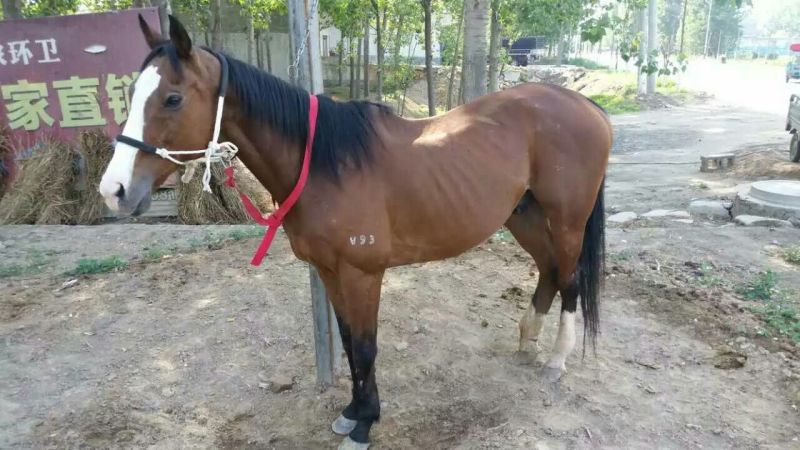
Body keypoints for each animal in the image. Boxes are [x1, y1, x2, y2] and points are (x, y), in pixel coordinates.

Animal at [98, 15, 612, 449]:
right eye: (133, 94)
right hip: (522, 214)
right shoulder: (329, 271)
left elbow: (365, 347)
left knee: (569, 278)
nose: (114, 190)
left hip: (567, 219)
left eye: (173, 98)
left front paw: (364, 426)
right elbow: (347, 342)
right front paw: (352, 412)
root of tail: (587, 105)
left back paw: (557, 361)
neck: (325, 162)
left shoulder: (363, 273)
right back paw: (527, 340)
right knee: (547, 270)